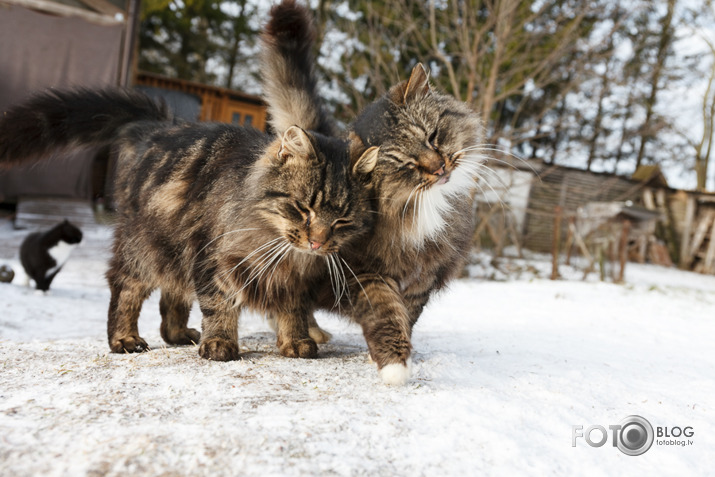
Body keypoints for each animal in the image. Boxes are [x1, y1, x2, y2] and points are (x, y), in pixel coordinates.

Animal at [0, 87, 380, 358]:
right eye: (303, 209)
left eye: (342, 220)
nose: (317, 242)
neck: (285, 254)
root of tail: (159, 127)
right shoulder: (213, 259)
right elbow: (218, 305)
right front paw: (221, 344)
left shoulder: (292, 284)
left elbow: (293, 312)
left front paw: (296, 343)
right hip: (144, 249)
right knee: (125, 288)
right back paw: (125, 339)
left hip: (176, 251)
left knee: (173, 295)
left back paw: (177, 335)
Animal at [258, 0, 486, 384]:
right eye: (404, 162)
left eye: (432, 137)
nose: (439, 168)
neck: (420, 206)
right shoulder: (367, 273)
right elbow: (385, 314)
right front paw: (394, 365)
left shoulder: (423, 277)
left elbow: (407, 316)